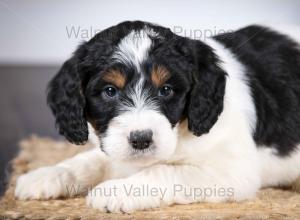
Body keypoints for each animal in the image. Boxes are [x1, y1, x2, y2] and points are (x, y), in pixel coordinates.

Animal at [14, 21, 300, 213]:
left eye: (166, 90)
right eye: (110, 91)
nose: (141, 140)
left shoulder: (232, 172)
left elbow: (164, 171)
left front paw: (116, 190)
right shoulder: (113, 145)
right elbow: (89, 160)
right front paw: (48, 175)